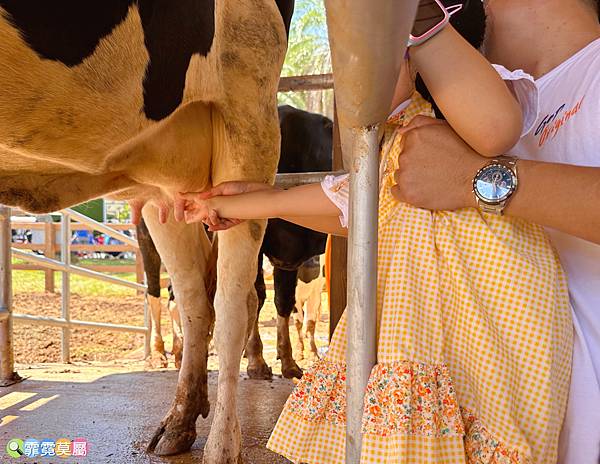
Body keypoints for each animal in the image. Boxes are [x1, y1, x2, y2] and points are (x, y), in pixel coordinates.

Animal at [0, 1, 292, 462]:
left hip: (249, 109)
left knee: (232, 304)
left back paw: (223, 445)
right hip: (165, 183)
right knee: (196, 298)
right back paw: (179, 424)